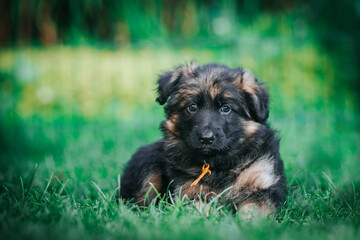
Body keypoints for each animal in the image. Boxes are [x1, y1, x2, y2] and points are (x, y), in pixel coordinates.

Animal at [120, 62, 286, 215]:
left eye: (226, 108)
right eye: (192, 107)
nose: (206, 138)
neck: (219, 163)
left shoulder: (261, 185)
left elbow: (254, 213)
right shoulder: (190, 192)